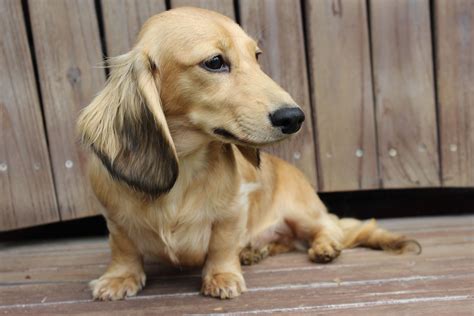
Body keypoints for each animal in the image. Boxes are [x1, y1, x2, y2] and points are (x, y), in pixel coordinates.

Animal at [78, 6, 422, 300]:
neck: (186, 168)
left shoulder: (232, 211)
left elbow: (221, 245)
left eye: (256, 56)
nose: (295, 118)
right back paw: (254, 251)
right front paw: (119, 277)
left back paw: (323, 248)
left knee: (327, 228)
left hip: (303, 213)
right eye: (215, 62)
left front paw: (221, 276)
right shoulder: (116, 219)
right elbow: (124, 248)